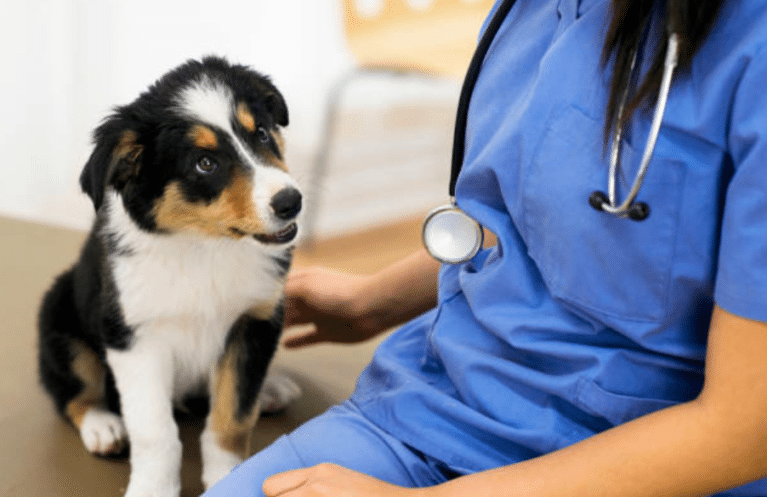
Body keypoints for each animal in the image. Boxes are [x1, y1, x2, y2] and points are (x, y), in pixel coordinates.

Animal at [39, 56, 304, 494]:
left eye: (262, 133)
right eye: (205, 163)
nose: (290, 202)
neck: (204, 247)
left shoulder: (254, 322)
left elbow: (232, 415)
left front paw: (228, 477)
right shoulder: (134, 336)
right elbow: (155, 431)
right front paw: (153, 488)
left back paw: (270, 388)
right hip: (58, 310)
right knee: (73, 391)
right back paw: (103, 426)